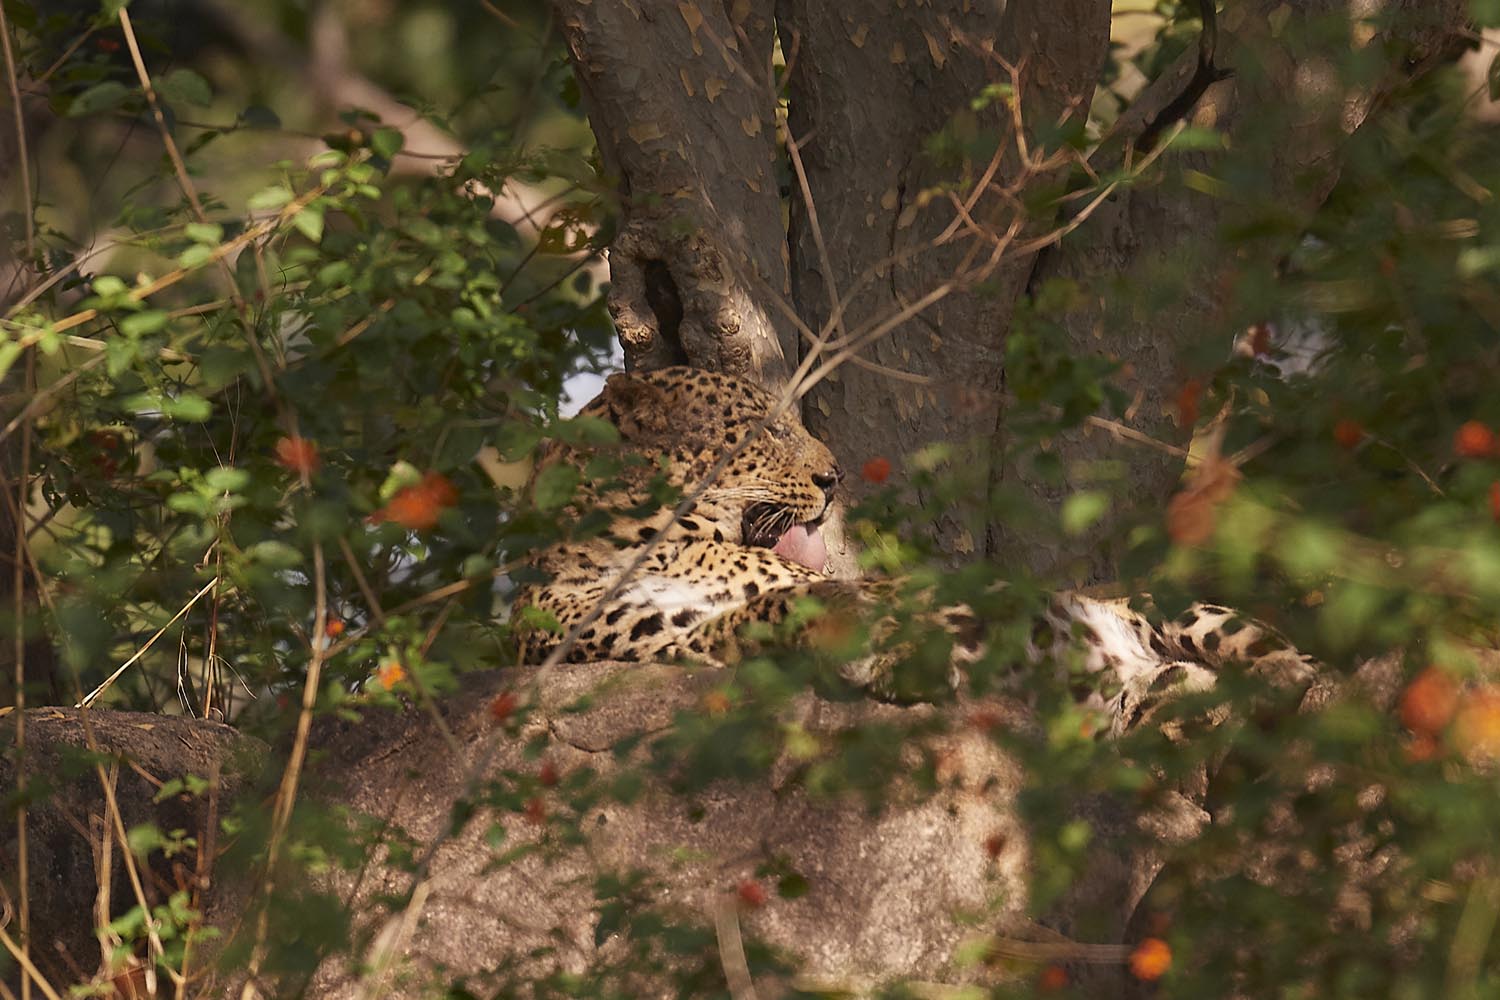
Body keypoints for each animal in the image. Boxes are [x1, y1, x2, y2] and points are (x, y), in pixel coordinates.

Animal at [512, 365, 1320, 736]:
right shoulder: (652, 638)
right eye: (762, 432)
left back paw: (1287, 682)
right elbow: (761, 609)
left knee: (1276, 663)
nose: (834, 476)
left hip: (1175, 610)